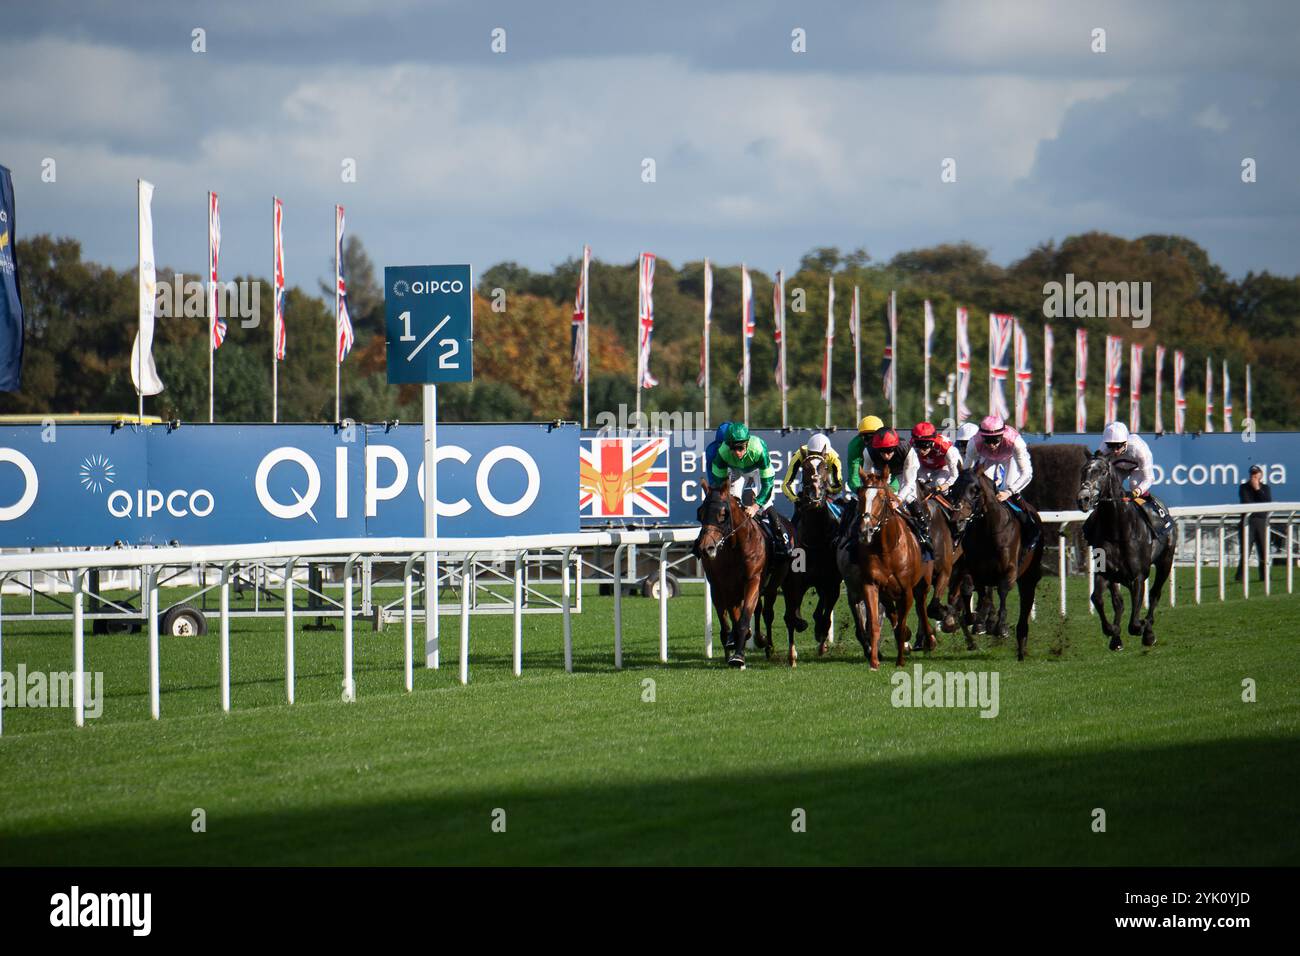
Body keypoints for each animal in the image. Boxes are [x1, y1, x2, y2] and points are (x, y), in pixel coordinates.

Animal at [691, 481, 790, 671]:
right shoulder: (722, 586)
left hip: (773, 584)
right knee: (756, 610)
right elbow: (730, 622)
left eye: (723, 514)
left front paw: (738, 657)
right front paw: (732, 646)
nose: (706, 548)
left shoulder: (753, 580)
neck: (735, 547)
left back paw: (768, 647)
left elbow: (743, 620)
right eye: (700, 513)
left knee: (767, 613)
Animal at [780, 455, 842, 665]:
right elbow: (792, 617)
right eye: (805, 468)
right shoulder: (794, 583)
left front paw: (820, 638)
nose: (815, 493)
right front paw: (792, 655)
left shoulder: (832, 582)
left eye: (824, 468)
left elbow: (825, 617)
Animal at [837, 468, 941, 671]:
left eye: (882, 497)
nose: (865, 531)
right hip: (884, 592)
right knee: (892, 613)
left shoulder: (906, 590)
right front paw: (874, 661)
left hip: (923, 583)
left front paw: (900, 660)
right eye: (861, 497)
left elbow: (901, 624)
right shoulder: (870, 585)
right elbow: (874, 625)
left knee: (921, 606)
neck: (886, 549)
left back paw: (929, 639)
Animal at [946, 468, 1045, 660]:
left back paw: (1021, 644)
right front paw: (980, 623)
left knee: (1026, 603)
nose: (957, 520)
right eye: (954, 487)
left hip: (1029, 576)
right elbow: (981, 595)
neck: (988, 530)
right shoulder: (977, 570)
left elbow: (1003, 591)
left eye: (976, 490)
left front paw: (1001, 627)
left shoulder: (1009, 570)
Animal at [1076, 455, 1180, 650]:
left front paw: (1143, 628)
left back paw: (1148, 631)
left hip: (1165, 561)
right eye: (1083, 470)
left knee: (1155, 594)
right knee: (1119, 602)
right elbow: (1098, 598)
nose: (1083, 498)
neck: (1118, 529)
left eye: (1103, 472)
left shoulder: (1138, 576)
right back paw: (1117, 638)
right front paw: (1112, 631)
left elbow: (1134, 623)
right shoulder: (1105, 572)